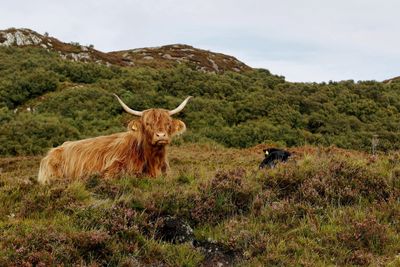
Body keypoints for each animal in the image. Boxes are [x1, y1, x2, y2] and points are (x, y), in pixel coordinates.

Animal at [38, 95, 192, 185]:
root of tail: (51, 151)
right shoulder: (112, 171)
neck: (154, 160)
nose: (161, 136)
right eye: (147, 123)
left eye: (168, 123)